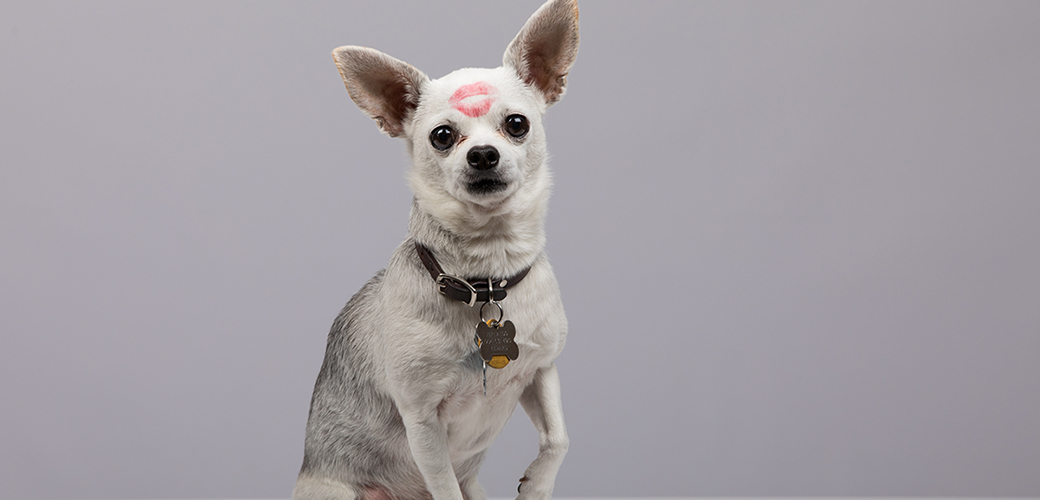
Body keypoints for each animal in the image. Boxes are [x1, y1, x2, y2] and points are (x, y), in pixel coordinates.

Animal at [293, 1, 582, 496]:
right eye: (443, 136)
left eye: (517, 124)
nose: (482, 154)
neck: (487, 279)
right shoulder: (422, 421)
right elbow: (443, 486)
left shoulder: (542, 370)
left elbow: (559, 439)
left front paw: (537, 486)